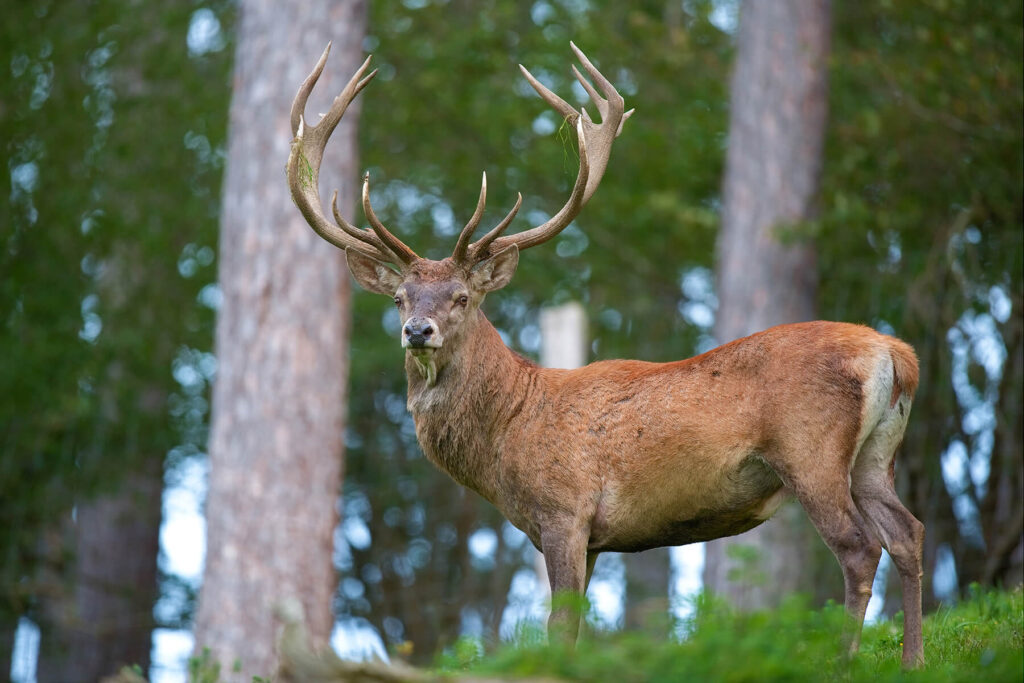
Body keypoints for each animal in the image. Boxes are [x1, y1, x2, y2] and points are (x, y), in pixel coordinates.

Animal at [286, 43, 925, 667]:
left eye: (462, 298)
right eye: (399, 298)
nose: (418, 330)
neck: (508, 431)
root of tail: (896, 353)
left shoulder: (564, 512)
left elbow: (559, 628)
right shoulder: (591, 537)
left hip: (810, 450)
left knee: (859, 548)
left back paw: (843, 662)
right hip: (875, 456)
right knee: (908, 533)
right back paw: (913, 661)